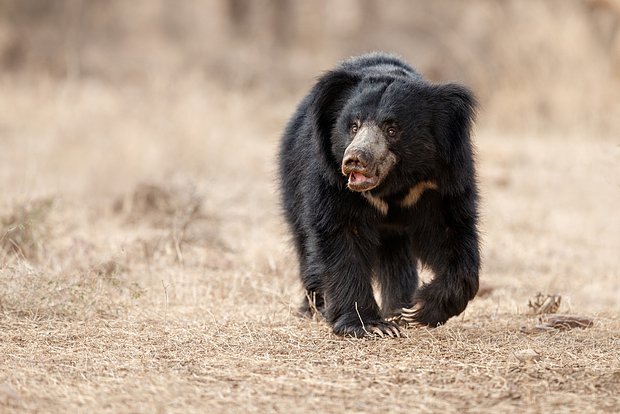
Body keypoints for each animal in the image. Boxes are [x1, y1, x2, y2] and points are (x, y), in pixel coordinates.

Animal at [278, 52, 480, 336]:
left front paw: (417, 310)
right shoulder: (331, 181)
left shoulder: (440, 181)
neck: (391, 186)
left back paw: (398, 307)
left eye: (392, 129)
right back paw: (315, 308)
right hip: (292, 185)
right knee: (305, 245)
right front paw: (371, 325)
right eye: (353, 126)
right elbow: (341, 237)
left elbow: (451, 232)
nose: (355, 160)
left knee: (397, 258)